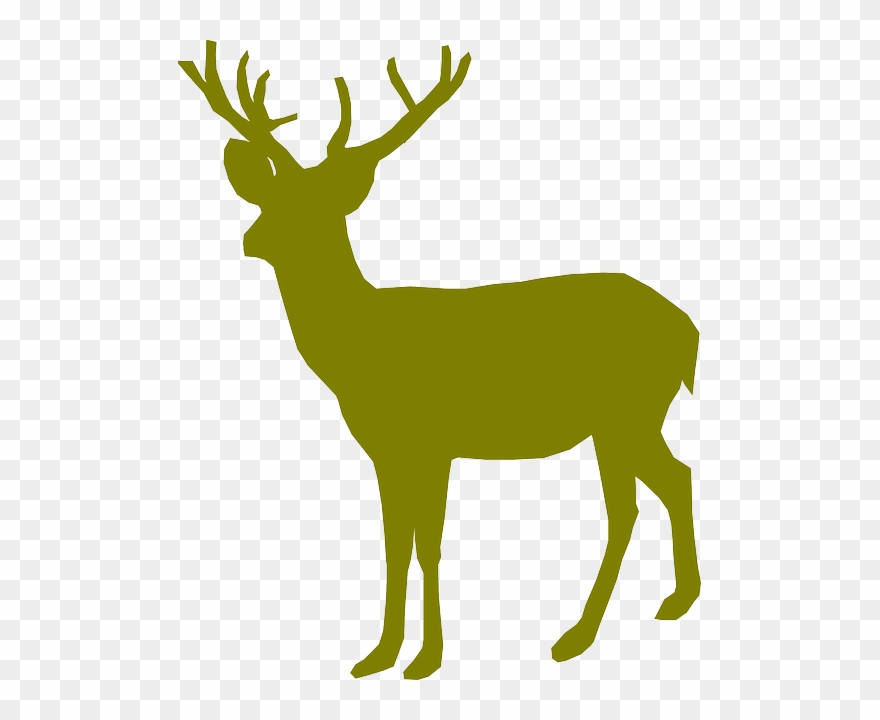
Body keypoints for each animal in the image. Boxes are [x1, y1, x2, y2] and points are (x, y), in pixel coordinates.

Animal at [179, 40, 701, 680]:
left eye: (322, 206)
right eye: (273, 196)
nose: (254, 239)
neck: (359, 349)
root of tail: (688, 330)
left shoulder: (432, 439)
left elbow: (427, 543)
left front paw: (426, 658)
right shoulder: (387, 449)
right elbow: (394, 545)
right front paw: (378, 654)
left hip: (624, 412)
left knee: (628, 505)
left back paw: (576, 635)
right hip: (634, 418)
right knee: (675, 478)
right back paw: (674, 601)